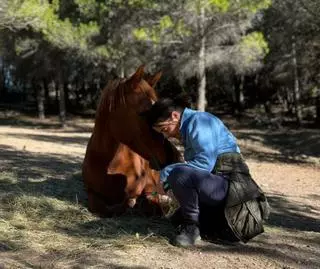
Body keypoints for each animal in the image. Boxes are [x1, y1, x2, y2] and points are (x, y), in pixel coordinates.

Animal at [82, 66, 181, 217]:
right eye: (144, 113)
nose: (172, 157)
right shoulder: (91, 193)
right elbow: (102, 207)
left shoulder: (145, 190)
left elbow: (138, 203)